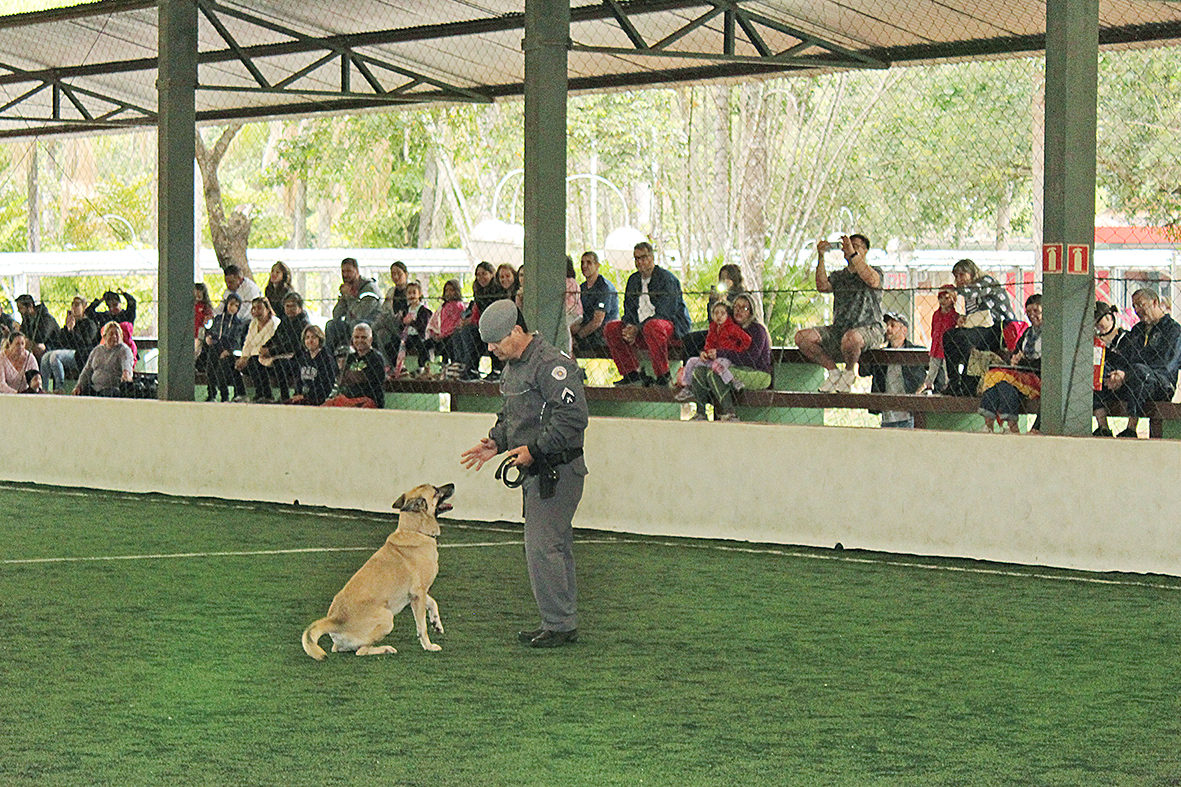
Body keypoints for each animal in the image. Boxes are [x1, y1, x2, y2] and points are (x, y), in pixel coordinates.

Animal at [302, 484, 453, 657]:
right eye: (436, 491)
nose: (453, 485)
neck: (414, 531)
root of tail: (335, 620)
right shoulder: (418, 594)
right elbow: (422, 627)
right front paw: (428, 646)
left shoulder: (417, 594)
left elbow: (433, 603)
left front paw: (436, 623)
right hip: (387, 618)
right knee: (361, 650)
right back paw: (386, 648)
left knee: (341, 648)